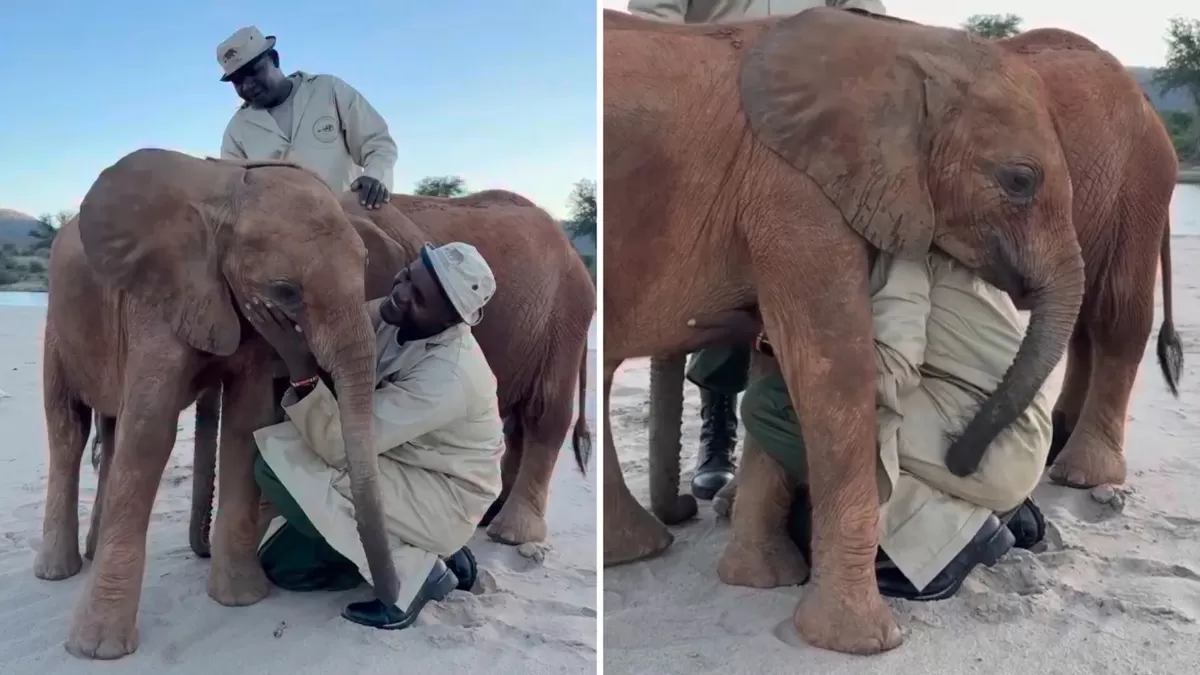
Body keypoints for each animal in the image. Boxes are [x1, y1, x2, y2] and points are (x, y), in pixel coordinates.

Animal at [37, 148, 401, 659]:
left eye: (367, 267)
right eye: (285, 291)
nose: (378, 609)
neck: (226, 198)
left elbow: (246, 424)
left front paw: (241, 600)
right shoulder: (156, 300)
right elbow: (149, 433)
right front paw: (98, 650)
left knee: (108, 431)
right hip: (58, 326)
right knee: (68, 431)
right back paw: (57, 572)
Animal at [84, 188, 596, 560]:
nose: (203, 551)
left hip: (568, 312)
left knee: (545, 413)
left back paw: (512, 534)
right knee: (515, 420)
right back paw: (490, 517)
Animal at [603, 8, 1084, 655]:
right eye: (1019, 181)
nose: (961, 458)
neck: (902, 44)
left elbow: (788, 367)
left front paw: (761, 582)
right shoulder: (793, 191)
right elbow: (833, 365)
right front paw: (863, 643)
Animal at [650, 27, 1186, 522]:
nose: (960, 458)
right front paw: (730, 505)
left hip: (1141, 183)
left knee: (1115, 312)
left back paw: (1081, 473)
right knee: (1082, 319)